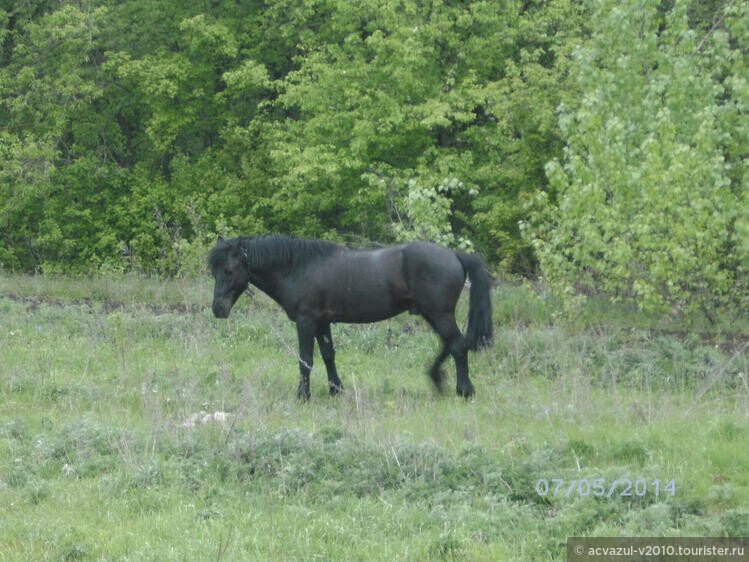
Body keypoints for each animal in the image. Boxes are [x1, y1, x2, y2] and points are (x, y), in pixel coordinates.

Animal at [210, 234, 490, 400]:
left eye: (228, 270)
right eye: (214, 271)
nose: (217, 309)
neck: (300, 268)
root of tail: (455, 255)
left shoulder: (306, 322)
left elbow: (306, 360)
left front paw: (303, 395)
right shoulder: (322, 323)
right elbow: (328, 356)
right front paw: (336, 389)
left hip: (439, 314)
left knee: (458, 345)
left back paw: (464, 390)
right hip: (433, 314)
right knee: (451, 344)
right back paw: (436, 378)